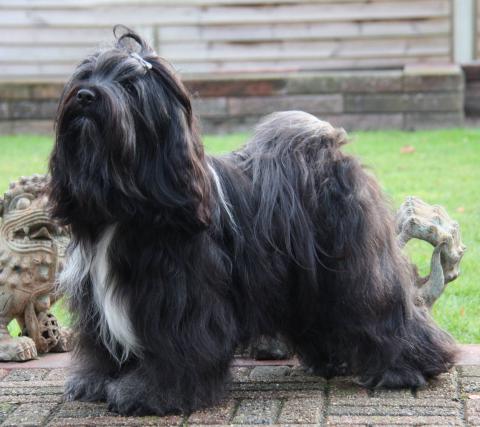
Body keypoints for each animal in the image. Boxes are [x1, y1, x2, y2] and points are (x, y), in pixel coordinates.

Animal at [48, 28, 458, 416]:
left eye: (131, 86)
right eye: (86, 75)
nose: (86, 96)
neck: (124, 203)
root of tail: (324, 146)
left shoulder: (179, 300)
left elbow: (173, 348)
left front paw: (151, 394)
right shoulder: (97, 296)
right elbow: (101, 344)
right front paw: (97, 382)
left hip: (354, 266)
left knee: (384, 306)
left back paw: (406, 368)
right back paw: (331, 361)